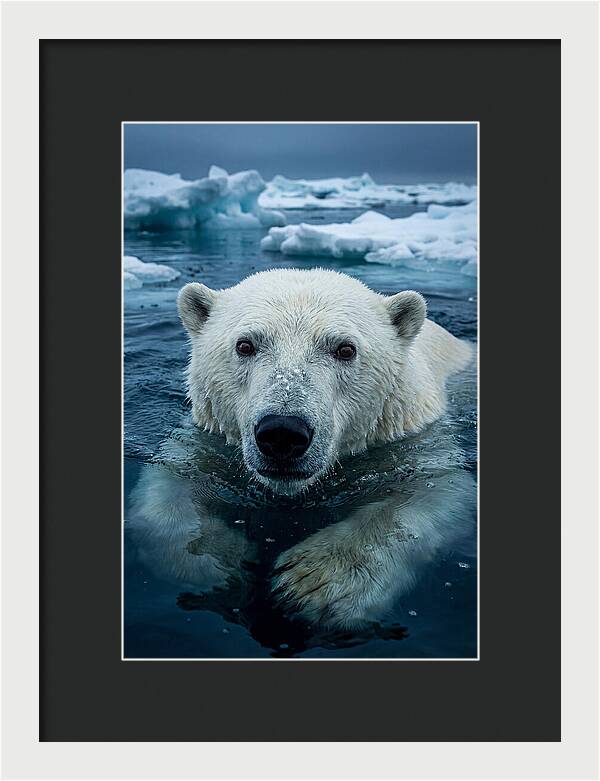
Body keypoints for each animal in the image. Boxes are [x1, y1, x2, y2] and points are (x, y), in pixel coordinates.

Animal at [127, 269, 475, 642]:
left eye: (345, 348)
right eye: (245, 345)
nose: (282, 432)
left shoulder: (414, 440)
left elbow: (435, 491)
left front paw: (313, 583)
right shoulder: (206, 440)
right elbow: (168, 488)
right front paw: (219, 562)